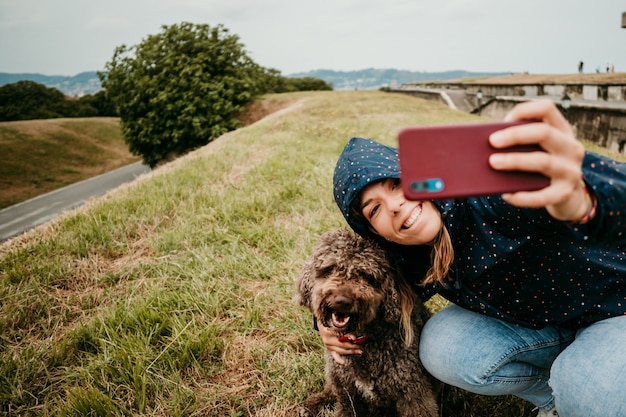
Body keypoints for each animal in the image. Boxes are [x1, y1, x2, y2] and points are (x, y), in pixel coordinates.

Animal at [294, 228, 436, 416]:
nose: (342, 301)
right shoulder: (347, 394)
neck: (364, 339)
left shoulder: (413, 394)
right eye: (329, 269)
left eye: (366, 275)